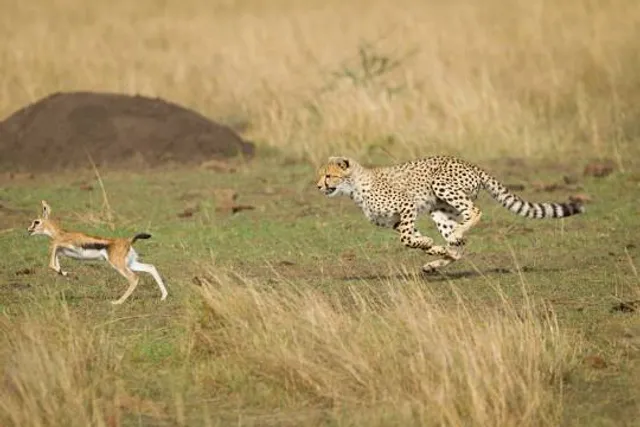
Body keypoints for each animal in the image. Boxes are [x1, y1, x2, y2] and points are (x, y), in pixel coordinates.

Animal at [316, 155, 585, 273]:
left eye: (328, 175)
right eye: (321, 175)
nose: (318, 186)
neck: (355, 187)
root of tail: (472, 164)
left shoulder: (407, 206)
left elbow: (406, 238)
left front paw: (428, 243)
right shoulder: (397, 221)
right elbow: (411, 238)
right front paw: (432, 247)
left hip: (441, 184)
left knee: (475, 212)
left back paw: (455, 236)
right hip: (439, 210)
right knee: (460, 247)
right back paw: (438, 259)